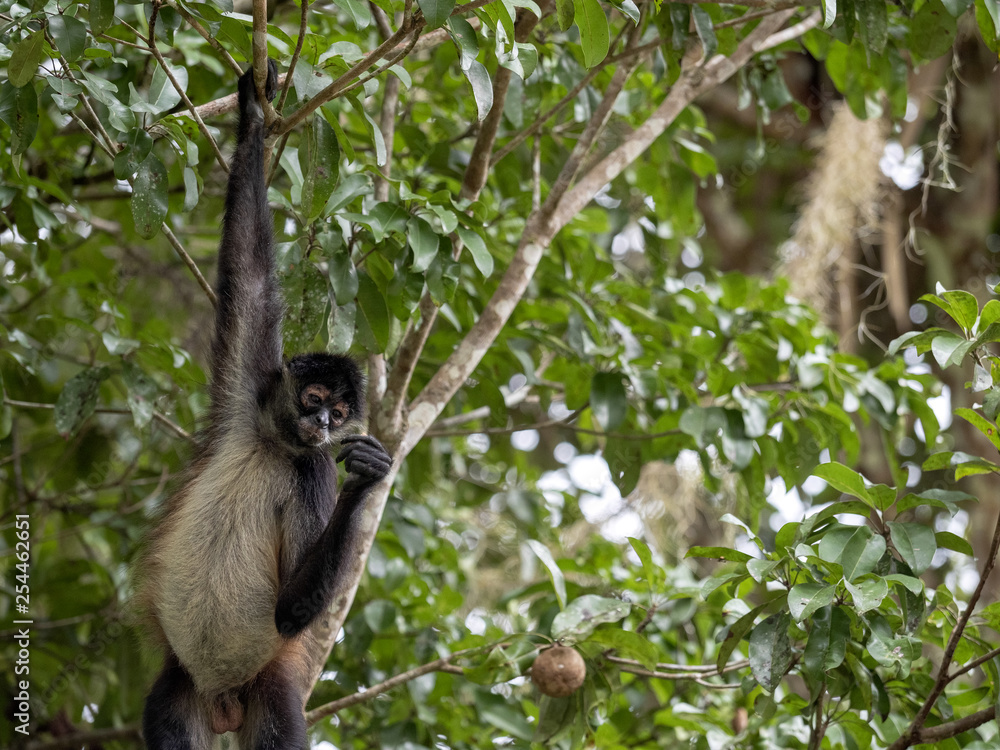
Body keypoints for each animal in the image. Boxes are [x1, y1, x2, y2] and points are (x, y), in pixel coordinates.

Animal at [135, 60, 392, 750]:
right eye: (314, 400)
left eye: (338, 415)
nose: (324, 424)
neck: (276, 445)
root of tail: (224, 697)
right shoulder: (244, 396)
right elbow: (248, 276)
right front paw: (253, 116)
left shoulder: (314, 469)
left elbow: (289, 611)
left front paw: (365, 484)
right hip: (179, 690)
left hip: (269, 689)